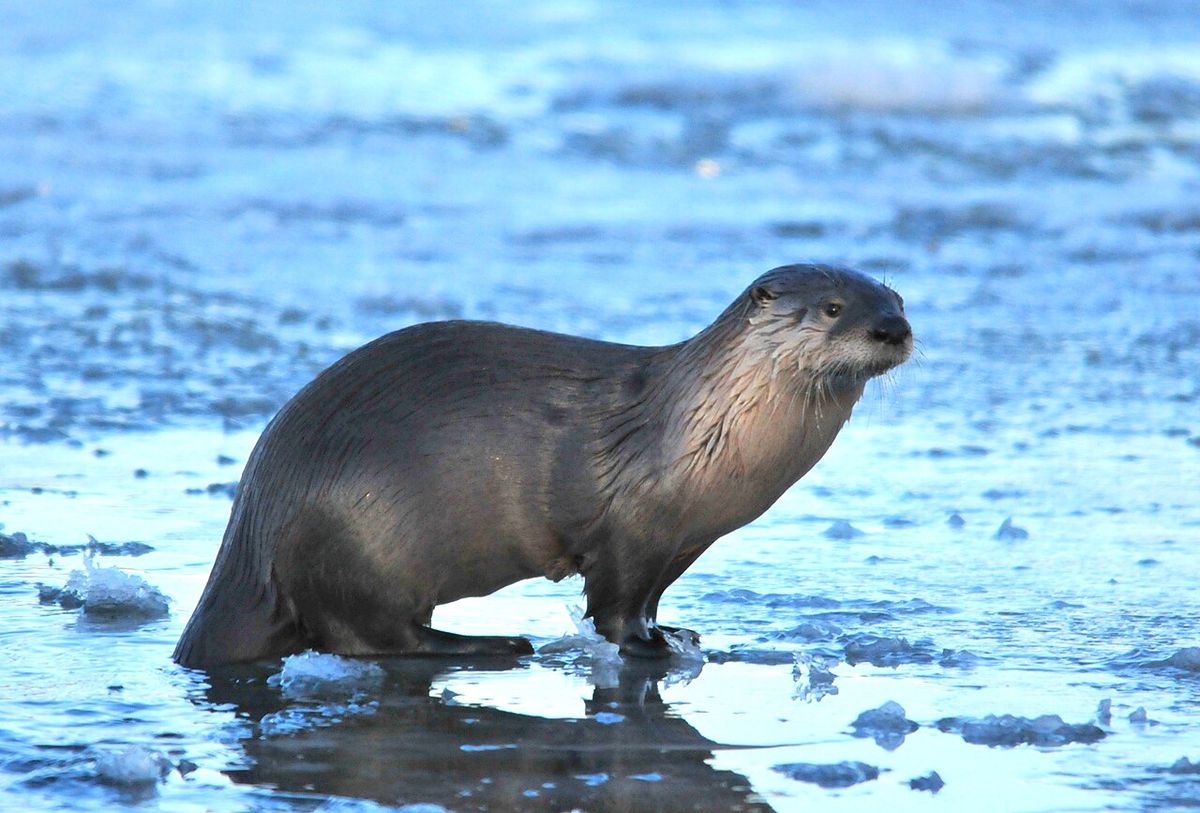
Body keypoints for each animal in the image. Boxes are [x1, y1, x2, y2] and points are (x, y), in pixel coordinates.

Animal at [174, 264, 912, 667]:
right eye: (834, 308)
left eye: (898, 300)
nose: (892, 330)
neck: (699, 430)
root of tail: (253, 525)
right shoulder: (630, 527)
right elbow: (613, 605)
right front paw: (646, 646)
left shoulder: (683, 540)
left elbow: (652, 598)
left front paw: (673, 630)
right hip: (354, 535)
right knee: (367, 636)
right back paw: (492, 644)